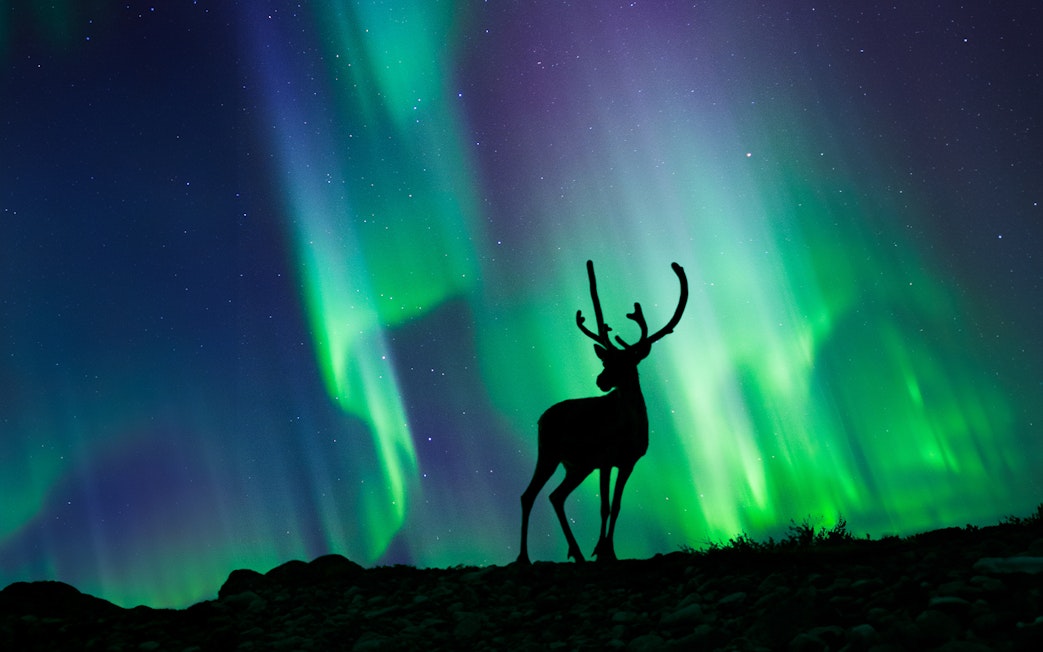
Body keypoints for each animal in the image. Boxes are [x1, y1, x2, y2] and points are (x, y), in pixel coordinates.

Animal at [517, 260, 688, 564]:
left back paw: (577, 553)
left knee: (556, 496)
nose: (601, 380)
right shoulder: (605, 460)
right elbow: (604, 506)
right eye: (606, 360)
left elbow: (617, 505)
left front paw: (609, 550)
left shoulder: (629, 461)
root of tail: (541, 417)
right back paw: (524, 557)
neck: (629, 429)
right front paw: (602, 551)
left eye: (626, 362)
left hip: (578, 466)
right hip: (549, 452)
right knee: (529, 495)